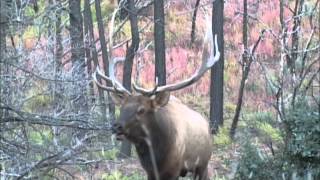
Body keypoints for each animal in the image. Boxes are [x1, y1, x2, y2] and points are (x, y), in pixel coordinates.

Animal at [92, 28, 220, 180]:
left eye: (141, 110)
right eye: (121, 107)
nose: (116, 126)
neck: (156, 157)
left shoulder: (174, 170)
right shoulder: (150, 172)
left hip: (203, 164)